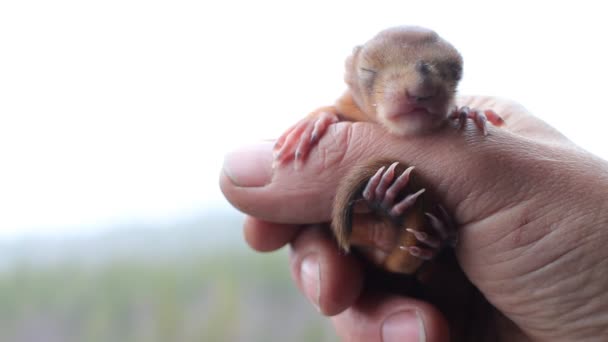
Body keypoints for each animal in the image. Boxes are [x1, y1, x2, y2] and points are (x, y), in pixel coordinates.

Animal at [274, 25, 502, 274]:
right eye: (367, 70)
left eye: (456, 71)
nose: (421, 88)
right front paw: (314, 121)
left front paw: (467, 112)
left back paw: (437, 235)